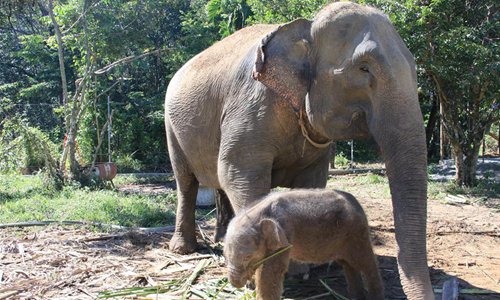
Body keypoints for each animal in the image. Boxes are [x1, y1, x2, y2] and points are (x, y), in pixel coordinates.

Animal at [223, 190, 382, 300]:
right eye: (224, 256)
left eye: (248, 256)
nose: (238, 284)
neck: (258, 214)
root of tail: (357, 204)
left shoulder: (285, 234)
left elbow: (270, 272)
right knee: (348, 265)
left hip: (357, 233)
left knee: (365, 263)